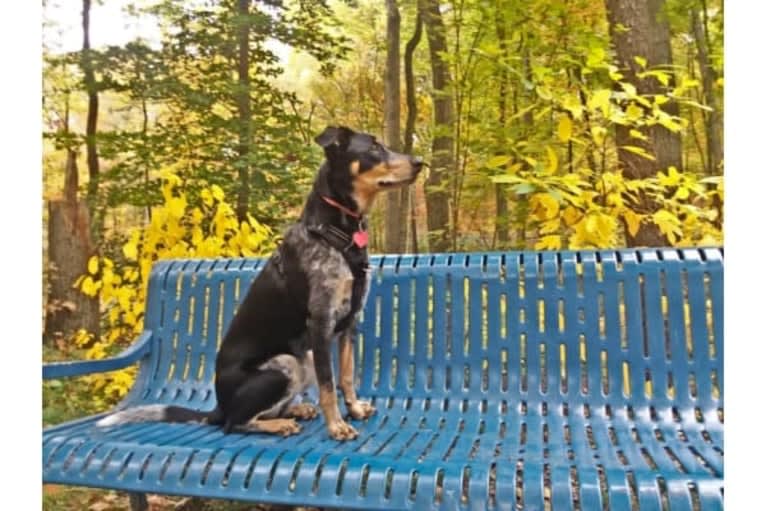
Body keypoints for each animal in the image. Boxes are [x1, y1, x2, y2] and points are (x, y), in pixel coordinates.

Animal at [96, 127, 426, 440]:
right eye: (374, 148)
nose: (420, 162)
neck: (334, 232)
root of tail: (218, 407)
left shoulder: (349, 323)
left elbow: (346, 376)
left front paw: (354, 409)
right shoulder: (320, 323)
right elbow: (328, 385)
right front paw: (337, 427)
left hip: (302, 359)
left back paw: (295, 410)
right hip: (286, 363)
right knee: (235, 424)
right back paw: (279, 423)